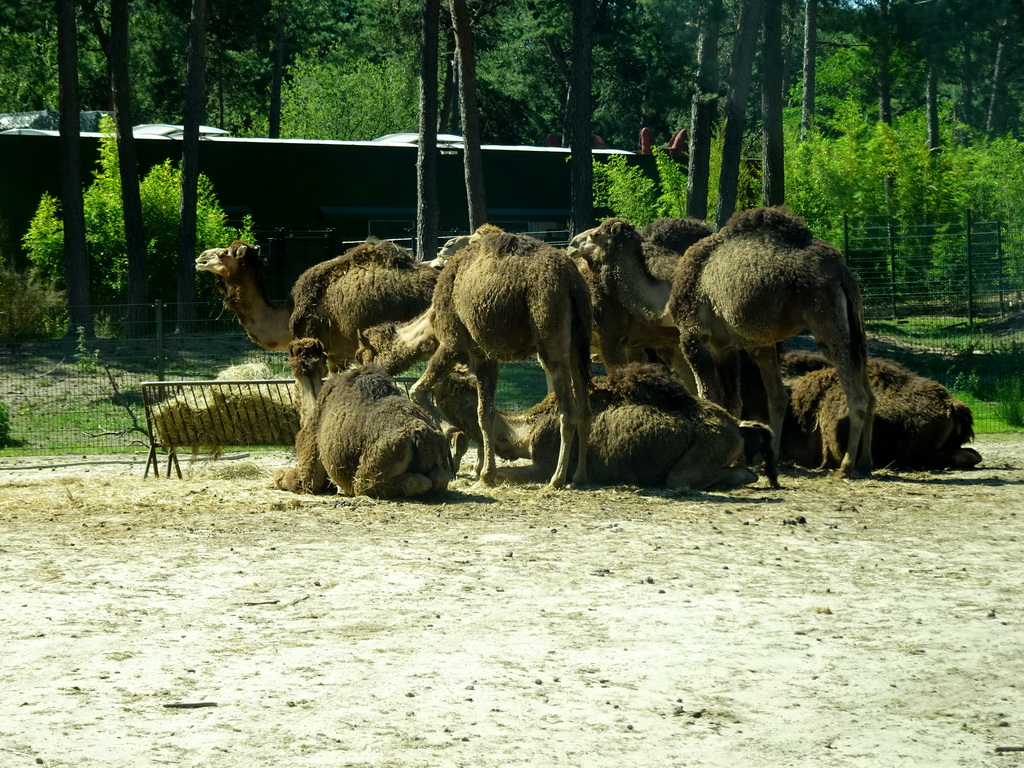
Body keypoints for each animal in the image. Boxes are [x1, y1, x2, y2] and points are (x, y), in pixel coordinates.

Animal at [272, 337, 452, 499]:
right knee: (439, 478)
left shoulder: (309, 464)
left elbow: (290, 478)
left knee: (380, 484)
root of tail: (421, 433)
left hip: (377, 462)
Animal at [403, 225, 589, 489]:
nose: (447, 244)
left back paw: (557, 479)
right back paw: (579, 476)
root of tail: (571, 281)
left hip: (550, 336)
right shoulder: (483, 354)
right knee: (585, 408)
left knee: (568, 411)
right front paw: (486, 473)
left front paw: (450, 432)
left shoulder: (453, 341)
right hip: (579, 343)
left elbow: (417, 390)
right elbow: (485, 412)